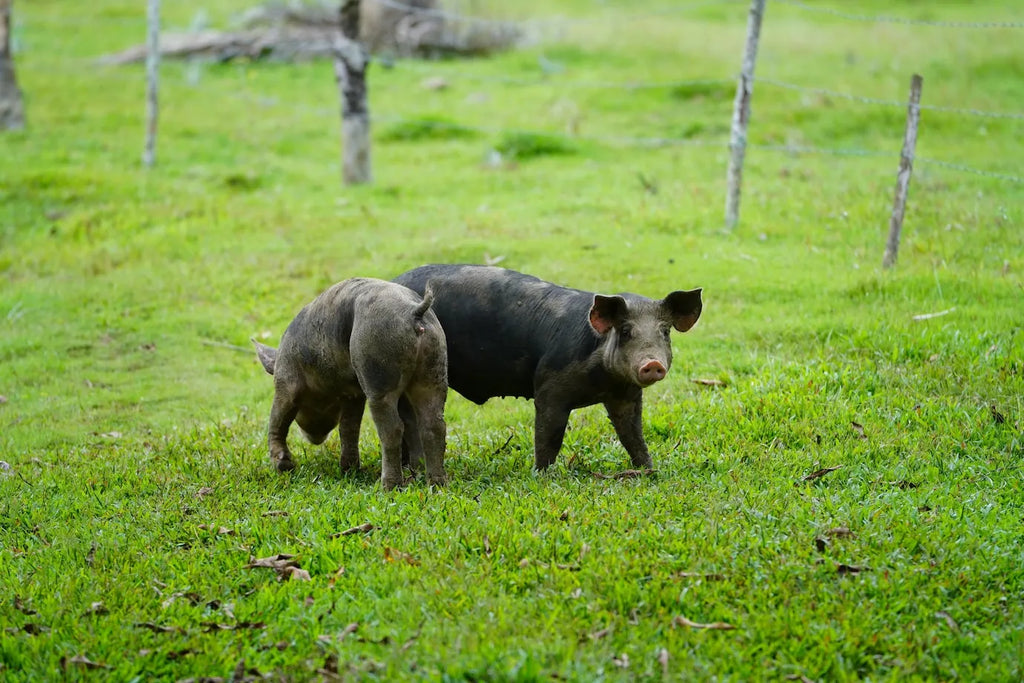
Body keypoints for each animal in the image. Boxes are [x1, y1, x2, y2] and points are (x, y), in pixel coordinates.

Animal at [393, 266, 704, 471]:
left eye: (665, 331)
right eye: (626, 331)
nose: (652, 364)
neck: (603, 381)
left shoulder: (626, 395)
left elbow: (632, 433)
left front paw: (648, 469)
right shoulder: (550, 386)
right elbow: (549, 434)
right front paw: (542, 474)